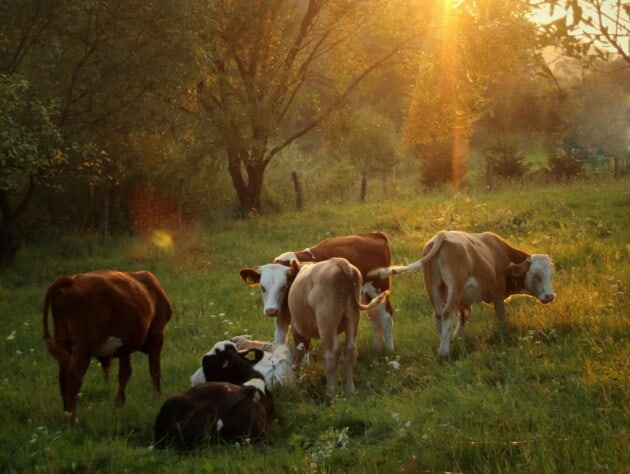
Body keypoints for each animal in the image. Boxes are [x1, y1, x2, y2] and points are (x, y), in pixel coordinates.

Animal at [42, 268, 173, 424]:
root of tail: (71, 280)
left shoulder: (125, 346)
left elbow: (125, 373)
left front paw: (119, 403)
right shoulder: (157, 336)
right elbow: (155, 371)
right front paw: (157, 398)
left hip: (63, 340)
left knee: (63, 376)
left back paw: (66, 413)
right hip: (84, 344)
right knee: (75, 376)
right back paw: (71, 418)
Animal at [241, 232, 396, 352]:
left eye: (283, 286)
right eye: (262, 287)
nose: (271, 310)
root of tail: (374, 234)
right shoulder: (281, 318)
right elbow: (279, 342)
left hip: (379, 288)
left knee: (386, 316)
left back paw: (389, 351)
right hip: (366, 295)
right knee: (374, 317)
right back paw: (377, 348)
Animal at [288, 258, 390, 398]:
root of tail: (341, 263)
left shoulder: (297, 328)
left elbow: (298, 354)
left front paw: (294, 383)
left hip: (326, 321)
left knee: (332, 353)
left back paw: (330, 392)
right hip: (352, 316)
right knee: (350, 349)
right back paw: (350, 390)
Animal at [370, 231, 556, 358]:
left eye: (551, 275)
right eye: (537, 276)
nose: (550, 296)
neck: (499, 251)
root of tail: (443, 234)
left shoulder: (464, 300)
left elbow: (465, 315)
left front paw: (457, 337)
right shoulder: (497, 292)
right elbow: (501, 316)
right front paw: (505, 334)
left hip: (433, 288)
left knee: (438, 315)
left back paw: (443, 343)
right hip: (455, 287)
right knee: (447, 314)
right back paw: (444, 353)